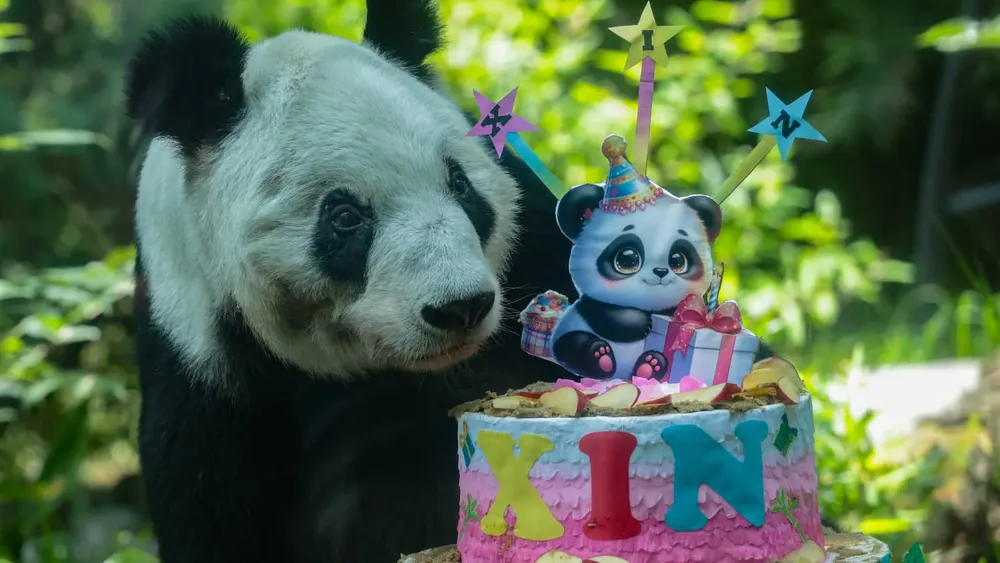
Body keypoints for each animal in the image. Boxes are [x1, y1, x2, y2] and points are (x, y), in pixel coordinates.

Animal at [551, 135, 722, 380]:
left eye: (678, 261)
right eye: (628, 260)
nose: (661, 272)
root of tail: (623, 375)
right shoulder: (592, 305)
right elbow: (607, 313)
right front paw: (641, 322)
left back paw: (650, 365)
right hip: (568, 334)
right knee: (573, 344)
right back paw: (600, 356)